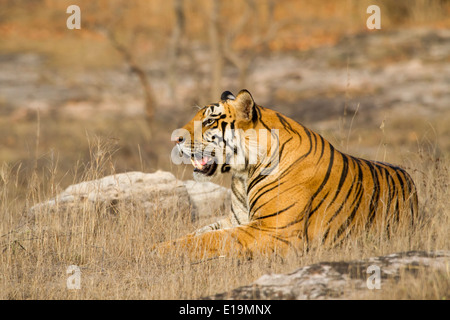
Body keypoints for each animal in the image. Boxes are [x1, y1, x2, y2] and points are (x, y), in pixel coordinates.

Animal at [156, 89, 420, 262]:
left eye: (209, 121)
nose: (175, 138)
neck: (243, 174)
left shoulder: (274, 229)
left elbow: (208, 240)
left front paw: (156, 252)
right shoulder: (238, 219)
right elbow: (198, 233)